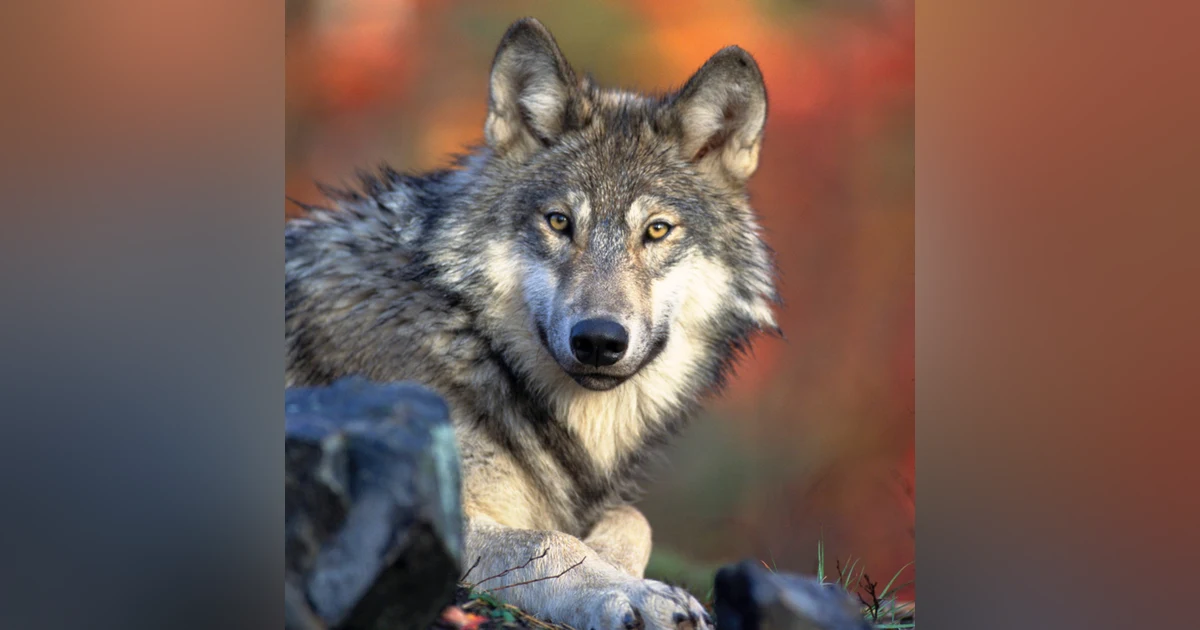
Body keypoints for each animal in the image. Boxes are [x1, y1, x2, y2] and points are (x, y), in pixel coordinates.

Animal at [285, 17, 779, 630]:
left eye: (657, 230)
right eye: (560, 222)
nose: (598, 340)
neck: (470, 339)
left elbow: (632, 518)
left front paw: (618, 566)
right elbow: (551, 542)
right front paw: (634, 592)